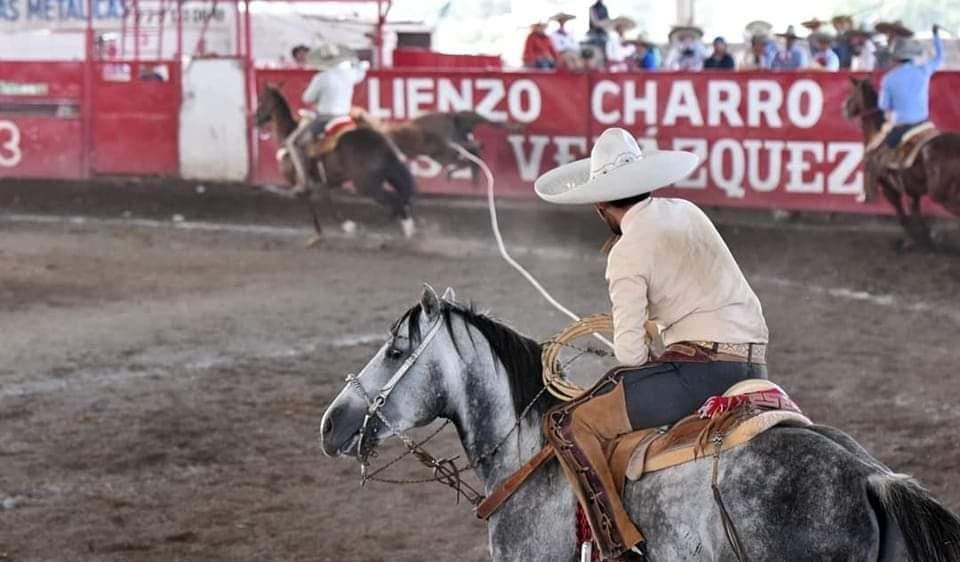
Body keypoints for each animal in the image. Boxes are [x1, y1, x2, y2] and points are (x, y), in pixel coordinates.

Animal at [255, 83, 416, 238]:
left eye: (261, 100)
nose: (255, 120)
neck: (287, 133)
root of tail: (382, 143)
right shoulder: (321, 182)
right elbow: (326, 199)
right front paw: (342, 226)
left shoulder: (300, 180)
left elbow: (312, 200)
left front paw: (333, 227)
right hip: (389, 175)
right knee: (401, 197)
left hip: (367, 184)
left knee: (394, 200)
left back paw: (405, 229)